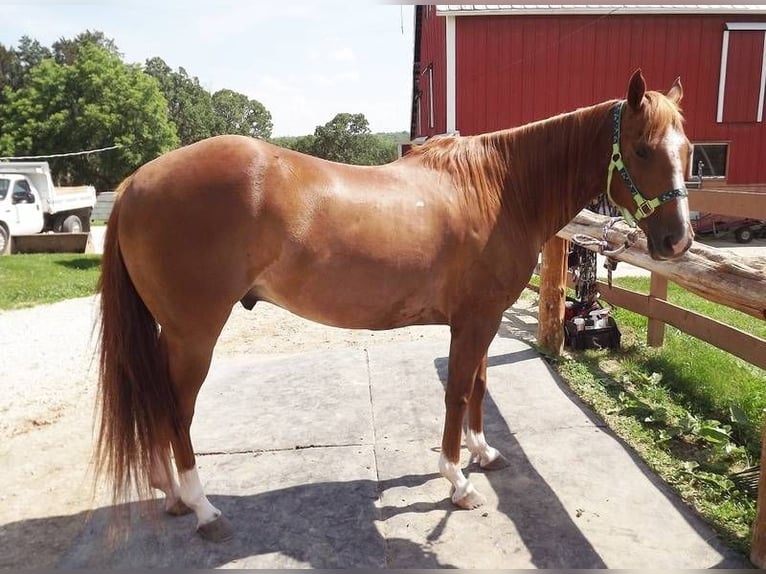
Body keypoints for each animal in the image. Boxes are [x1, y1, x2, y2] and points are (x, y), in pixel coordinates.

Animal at [95, 69, 693, 542]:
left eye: (688, 152)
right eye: (642, 149)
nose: (677, 242)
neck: (498, 187)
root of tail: (135, 183)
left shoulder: (485, 318)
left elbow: (479, 385)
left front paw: (482, 454)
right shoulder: (474, 321)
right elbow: (457, 392)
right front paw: (457, 481)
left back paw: (172, 495)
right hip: (193, 334)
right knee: (176, 410)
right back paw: (203, 509)